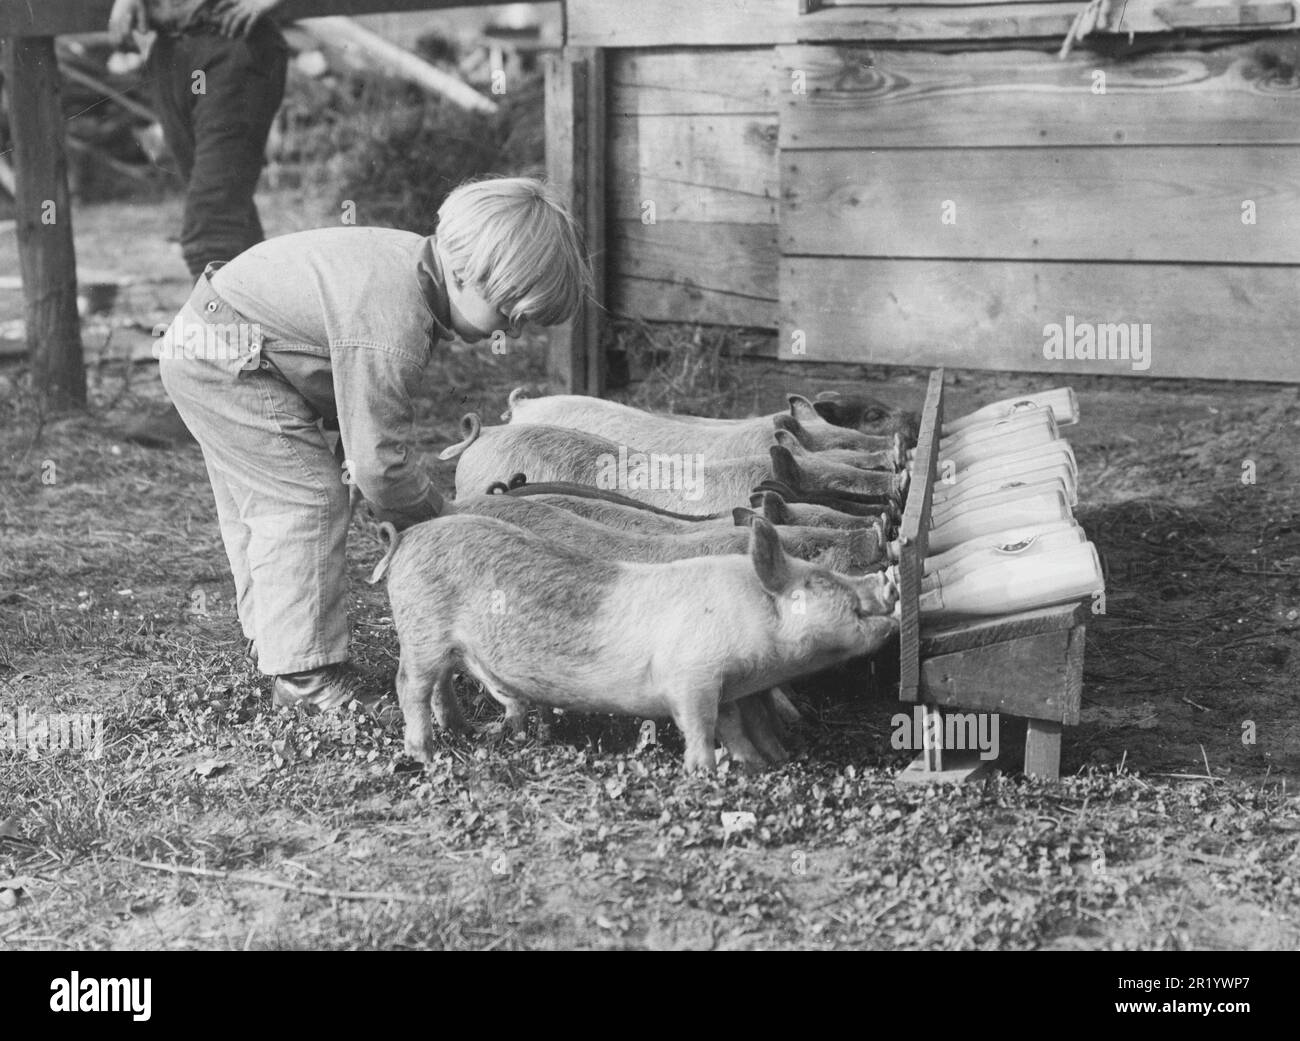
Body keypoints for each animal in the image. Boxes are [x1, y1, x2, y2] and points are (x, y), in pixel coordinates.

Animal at [379, 514, 899, 769]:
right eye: (821, 580)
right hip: (422, 631)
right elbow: (699, 724)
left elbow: (731, 724)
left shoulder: (727, 683)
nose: (886, 581)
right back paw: (427, 756)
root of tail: (407, 537)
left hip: (447, 646)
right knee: (409, 686)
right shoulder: (691, 677)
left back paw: (463, 732)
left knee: (441, 687)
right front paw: (703, 772)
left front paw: (757, 764)